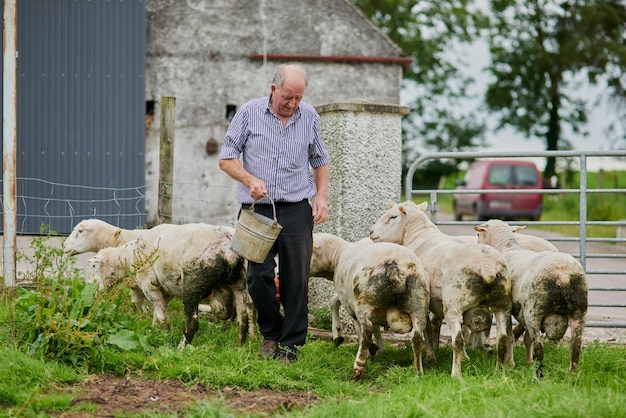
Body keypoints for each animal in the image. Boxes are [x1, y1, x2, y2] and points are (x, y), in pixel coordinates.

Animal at [308, 233, 428, 380]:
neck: (338, 255)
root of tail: (394, 269)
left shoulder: (350, 303)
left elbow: (336, 305)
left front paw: (340, 337)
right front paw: (379, 349)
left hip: (363, 303)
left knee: (366, 332)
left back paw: (359, 367)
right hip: (418, 304)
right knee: (417, 338)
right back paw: (418, 372)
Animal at [370, 200, 512, 378]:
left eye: (393, 216)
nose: (371, 232)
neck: (418, 235)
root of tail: (486, 265)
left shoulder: (423, 302)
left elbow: (428, 330)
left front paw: (431, 356)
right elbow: (443, 327)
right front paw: (463, 357)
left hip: (453, 304)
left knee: (457, 340)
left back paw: (455, 375)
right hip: (502, 304)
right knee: (502, 339)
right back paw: (500, 371)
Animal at [472, 219, 584, 376]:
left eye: (478, 234)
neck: (506, 248)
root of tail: (563, 275)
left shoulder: (508, 309)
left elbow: (510, 337)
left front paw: (511, 363)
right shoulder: (521, 313)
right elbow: (526, 339)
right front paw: (528, 362)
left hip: (534, 311)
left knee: (539, 347)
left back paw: (538, 374)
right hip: (578, 310)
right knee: (575, 346)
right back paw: (572, 375)